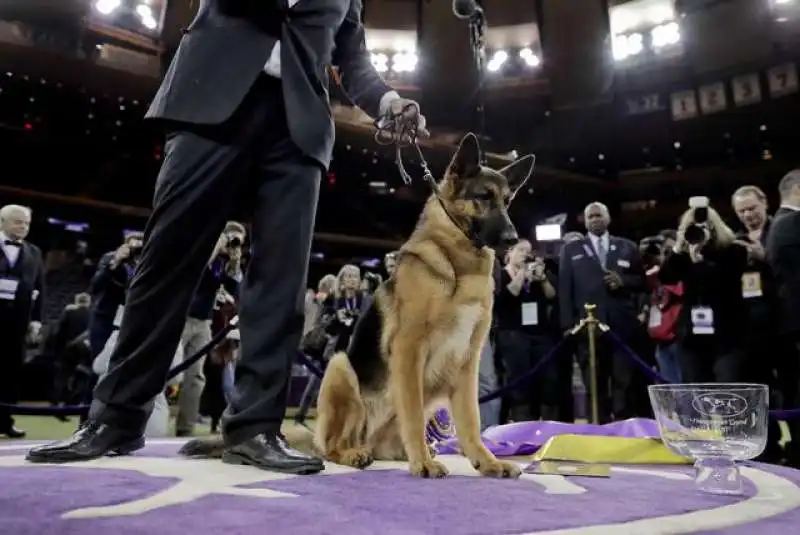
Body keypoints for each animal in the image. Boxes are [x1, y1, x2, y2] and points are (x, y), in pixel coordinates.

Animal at [178, 132, 536, 480]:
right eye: (483, 197)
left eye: (507, 201)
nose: (512, 239)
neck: (457, 264)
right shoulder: (409, 349)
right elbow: (414, 414)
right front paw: (423, 463)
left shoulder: (466, 361)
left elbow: (471, 421)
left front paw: (487, 462)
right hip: (340, 368)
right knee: (333, 446)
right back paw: (356, 454)